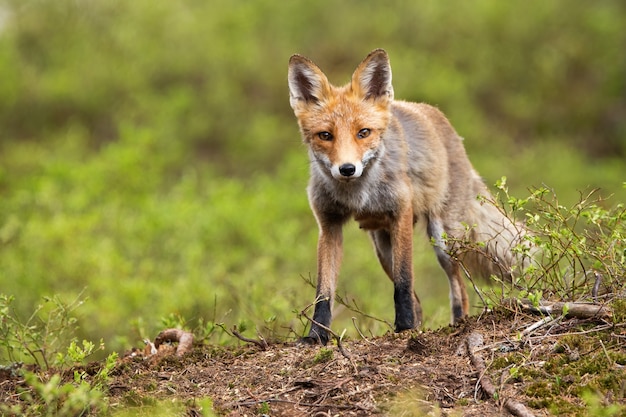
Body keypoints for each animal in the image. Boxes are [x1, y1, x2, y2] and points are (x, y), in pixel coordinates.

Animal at [288, 48, 528, 342]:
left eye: (363, 132)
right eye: (325, 135)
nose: (346, 169)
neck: (357, 195)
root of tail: (442, 121)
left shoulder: (400, 213)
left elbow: (403, 282)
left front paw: (404, 327)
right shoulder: (329, 226)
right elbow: (324, 291)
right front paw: (316, 335)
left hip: (443, 240)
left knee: (458, 288)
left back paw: (457, 324)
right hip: (382, 248)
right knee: (420, 299)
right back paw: (419, 322)